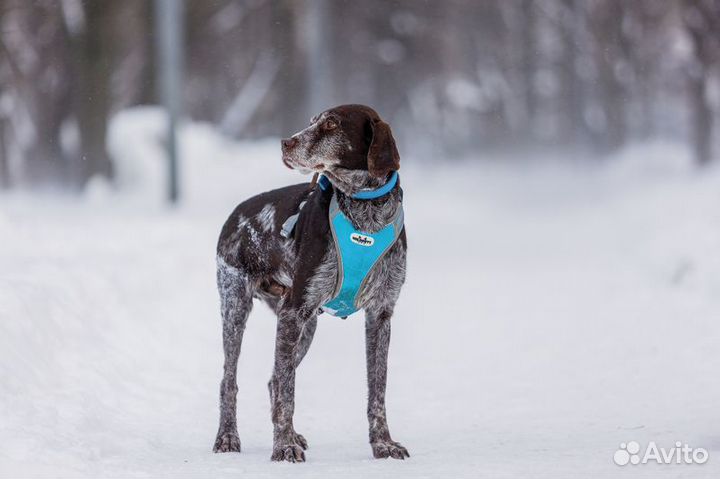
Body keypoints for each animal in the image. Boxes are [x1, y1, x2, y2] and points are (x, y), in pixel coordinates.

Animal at [211, 104, 408, 462]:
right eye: (313, 120)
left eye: (331, 124)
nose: (285, 143)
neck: (365, 213)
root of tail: (236, 213)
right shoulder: (294, 311)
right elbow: (288, 392)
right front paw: (283, 446)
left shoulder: (381, 314)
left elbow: (378, 389)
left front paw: (383, 444)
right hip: (237, 308)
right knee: (232, 380)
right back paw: (228, 437)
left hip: (304, 324)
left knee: (275, 380)